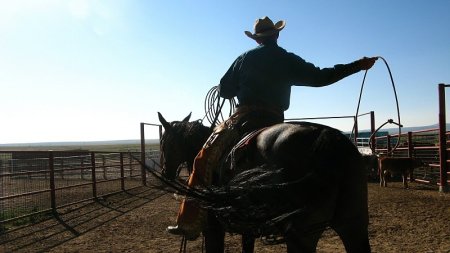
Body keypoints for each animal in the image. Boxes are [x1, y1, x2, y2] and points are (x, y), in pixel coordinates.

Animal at [157, 112, 370, 253]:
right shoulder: (247, 230)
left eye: (163, 142)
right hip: (354, 225)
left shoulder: (213, 230)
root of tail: (327, 140)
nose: (165, 172)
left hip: (302, 237)